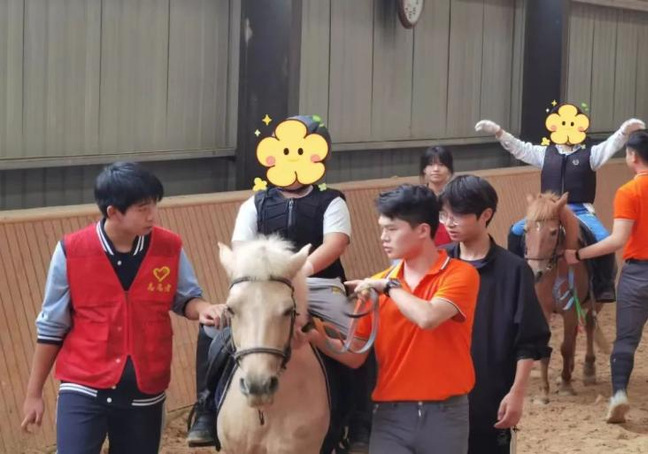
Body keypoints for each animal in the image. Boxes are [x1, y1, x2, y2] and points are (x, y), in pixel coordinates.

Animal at [524, 192, 608, 404]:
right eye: (526, 230)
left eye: (554, 232)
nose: (534, 273)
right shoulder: (543, 311)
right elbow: (546, 348)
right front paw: (544, 392)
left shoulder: (570, 310)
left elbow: (565, 347)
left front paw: (566, 386)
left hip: (595, 305)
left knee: (589, 328)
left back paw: (588, 370)